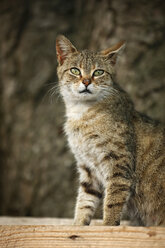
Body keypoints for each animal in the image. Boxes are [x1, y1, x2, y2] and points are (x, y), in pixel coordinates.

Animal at [55, 35, 165, 227]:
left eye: (98, 72)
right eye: (75, 70)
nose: (86, 81)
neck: (81, 113)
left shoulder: (119, 165)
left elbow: (113, 202)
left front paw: (108, 227)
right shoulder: (88, 169)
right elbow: (84, 202)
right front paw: (78, 226)